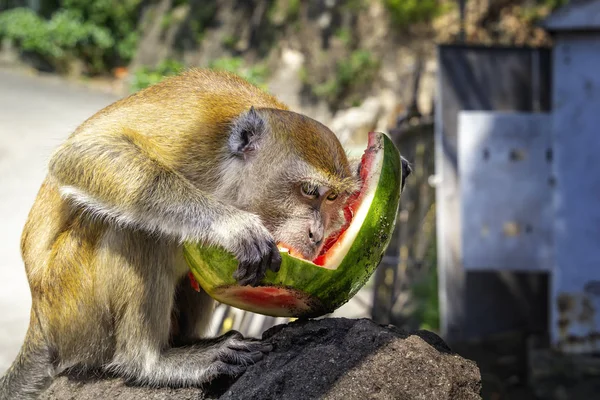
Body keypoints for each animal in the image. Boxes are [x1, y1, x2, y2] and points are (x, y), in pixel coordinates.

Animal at [0, 68, 408, 396]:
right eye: (309, 192)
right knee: (134, 230)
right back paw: (150, 362)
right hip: (72, 305)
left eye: (333, 198)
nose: (317, 235)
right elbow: (82, 153)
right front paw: (232, 225)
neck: (223, 172)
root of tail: (40, 322)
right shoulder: (189, 134)